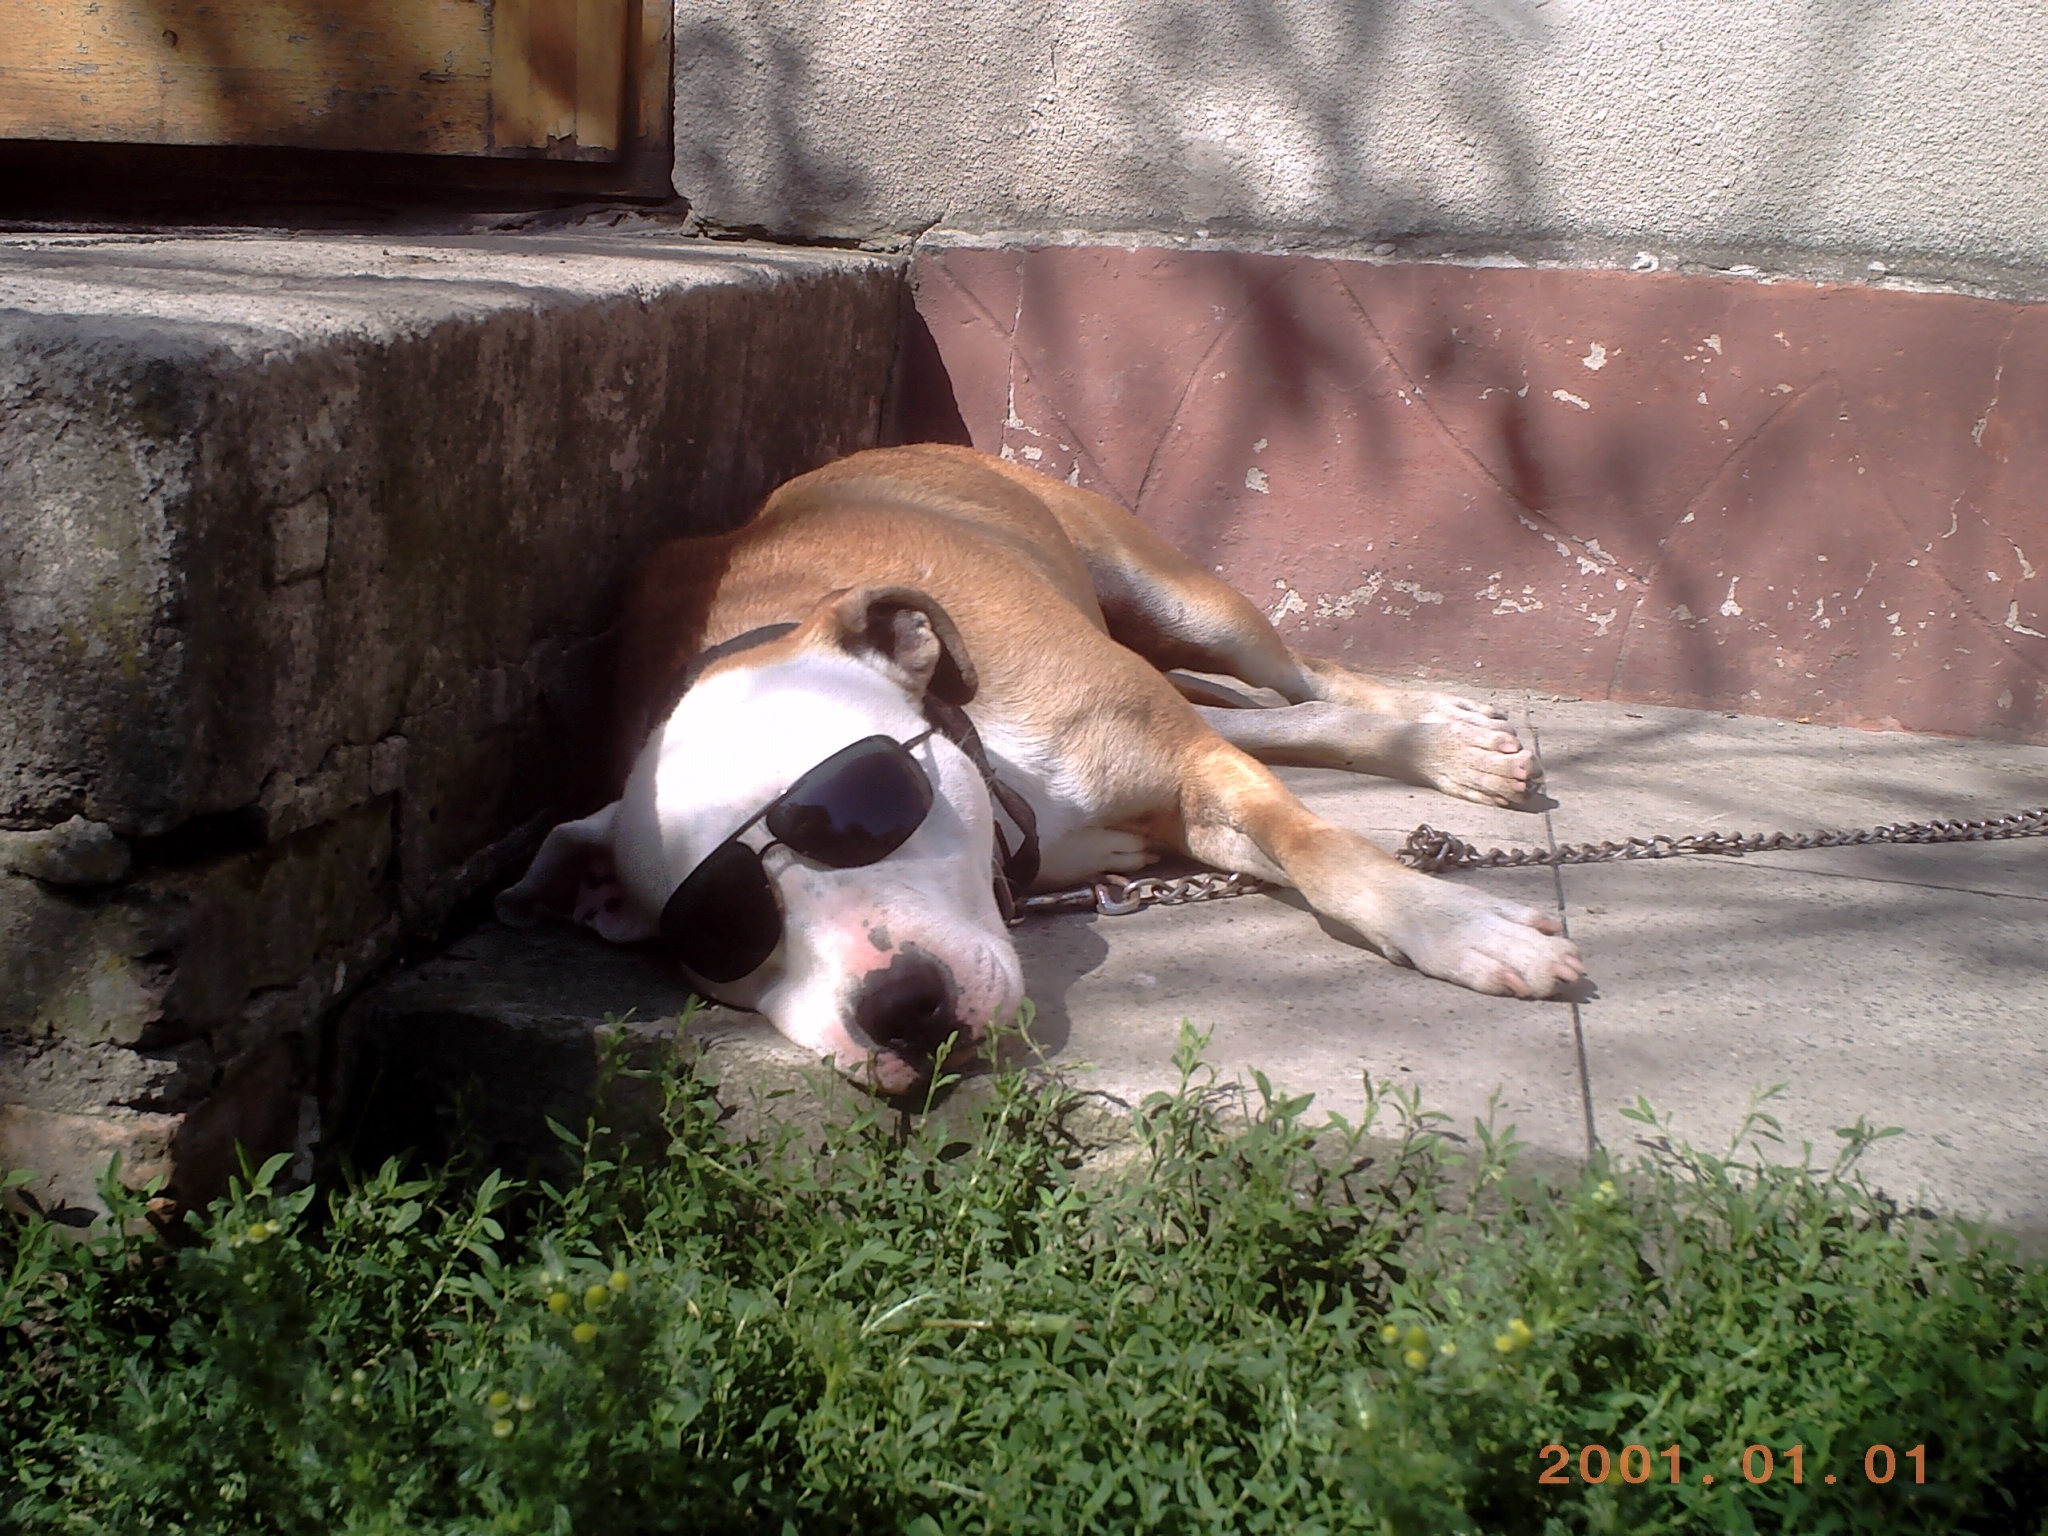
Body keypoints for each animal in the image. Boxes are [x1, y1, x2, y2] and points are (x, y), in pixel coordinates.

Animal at [498, 444, 1583, 1093]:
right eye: (718, 925)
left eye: (865, 805)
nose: (899, 1007)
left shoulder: (1196, 769)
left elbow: (1324, 849)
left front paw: (1455, 925)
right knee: (1267, 713)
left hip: (1183, 598)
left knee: (1301, 675)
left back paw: (1442, 736)